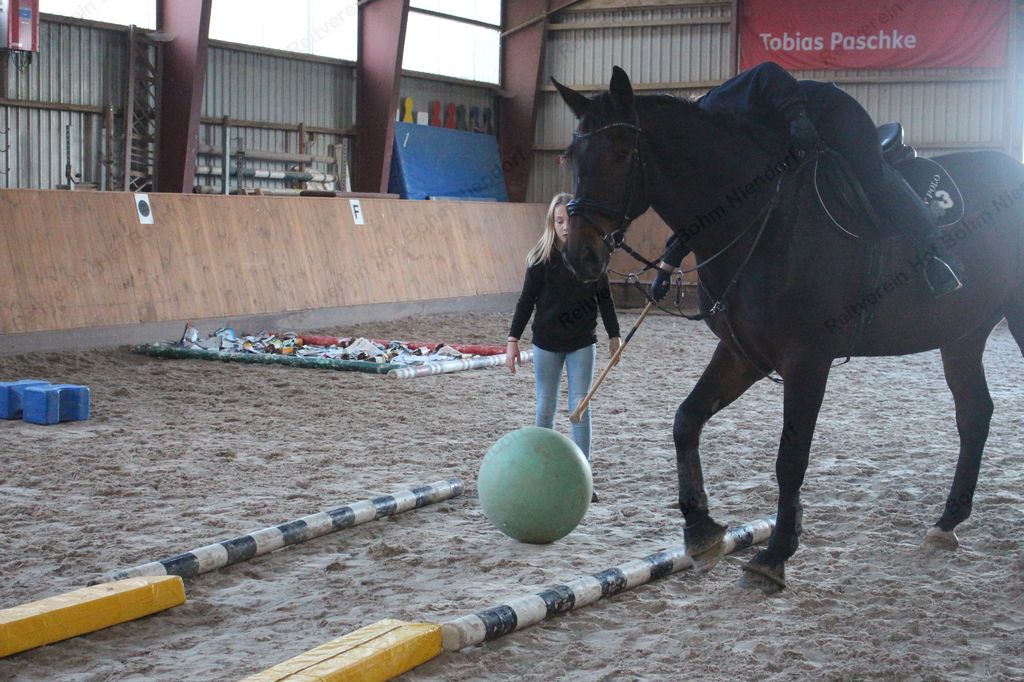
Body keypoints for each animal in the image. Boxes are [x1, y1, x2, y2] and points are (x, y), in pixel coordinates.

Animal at [553, 66, 1024, 593]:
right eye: (572, 156)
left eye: (619, 153)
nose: (580, 256)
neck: (760, 216)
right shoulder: (743, 354)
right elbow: (686, 420)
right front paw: (701, 529)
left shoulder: (807, 359)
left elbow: (790, 457)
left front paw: (774, 553)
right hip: (962, 335)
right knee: (975, 414)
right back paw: (947, 521)